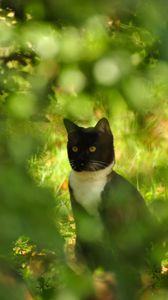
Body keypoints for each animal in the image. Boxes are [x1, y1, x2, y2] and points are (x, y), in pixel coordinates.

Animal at [63, 117, 158, 300]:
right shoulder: (79, 214)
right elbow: (87, 246)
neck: (88, 183)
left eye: (92, 148)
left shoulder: (114, 217)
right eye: (75, 148)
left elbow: (116, 250)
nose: (81, 160)